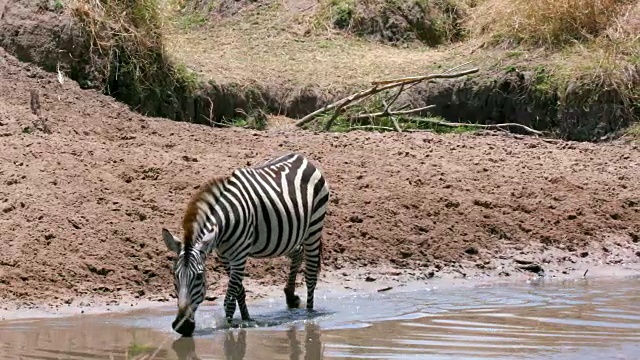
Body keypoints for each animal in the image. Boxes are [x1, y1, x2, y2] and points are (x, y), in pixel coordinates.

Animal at [161, 153, 330, 338]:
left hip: (314, 227)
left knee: (311, 274)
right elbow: (239, 291)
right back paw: (291, 297)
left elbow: (230, 297)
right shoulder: (225, 257)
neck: (225, 224)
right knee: (298, 253)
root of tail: (300, 157)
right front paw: (246, 318)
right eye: (175, 275)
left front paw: (228, 326)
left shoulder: (239, 256)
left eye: (199, 277)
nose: (182, 327)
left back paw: (309, 313)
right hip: (284, 237)